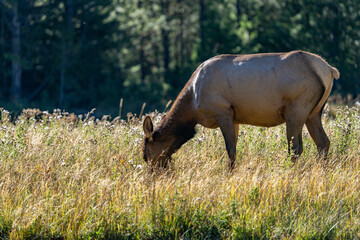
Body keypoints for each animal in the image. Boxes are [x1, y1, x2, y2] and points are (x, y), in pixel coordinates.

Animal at [142, 51, 338, 169]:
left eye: (146, 154)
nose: (154, 174)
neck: (192, 106)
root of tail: (329, 70)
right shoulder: (235, 117)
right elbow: (234, 148)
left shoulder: (223, 111)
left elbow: (231, 150)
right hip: (314, 112)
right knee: (323, 142)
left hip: (296, 110)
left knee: (296, 148)